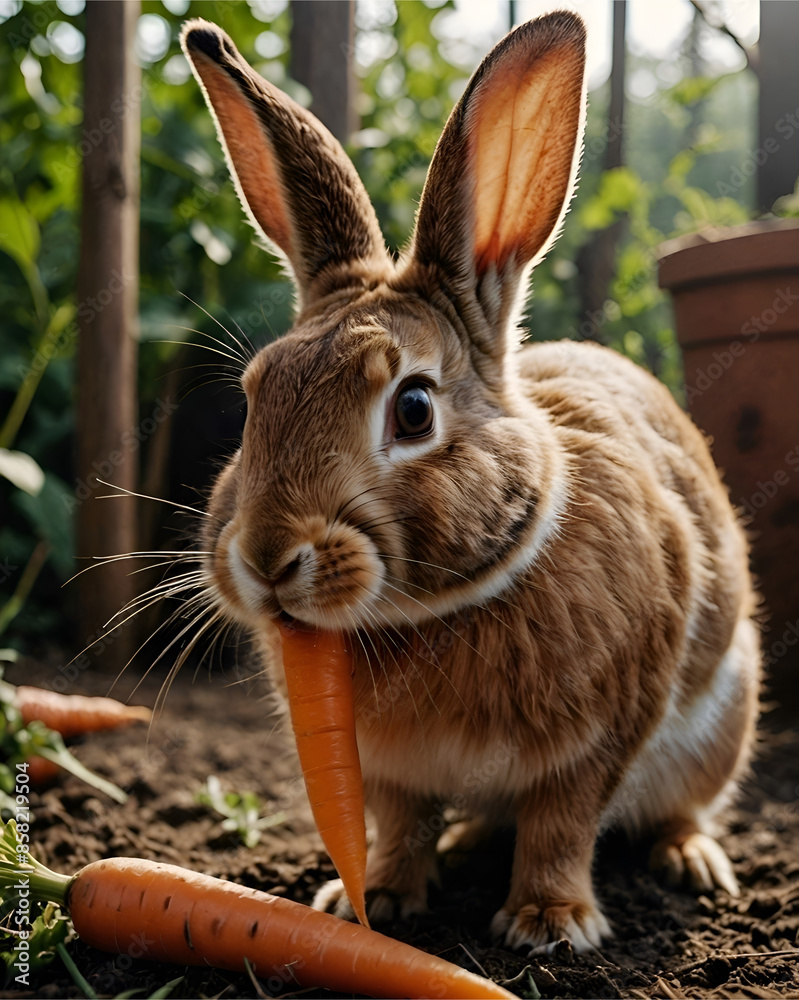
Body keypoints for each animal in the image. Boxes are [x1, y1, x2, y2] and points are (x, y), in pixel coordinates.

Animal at [180, 10, 760, 954]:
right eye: (254, 395)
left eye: (413, 409)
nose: (266, 559)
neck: (433, 614)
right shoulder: (387, 771)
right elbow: (398, 821)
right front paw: (376, 900)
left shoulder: (600, 739)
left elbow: (563, 823)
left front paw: (549, 924)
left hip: (724, 718)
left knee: (679, 806)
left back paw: (690, 861)